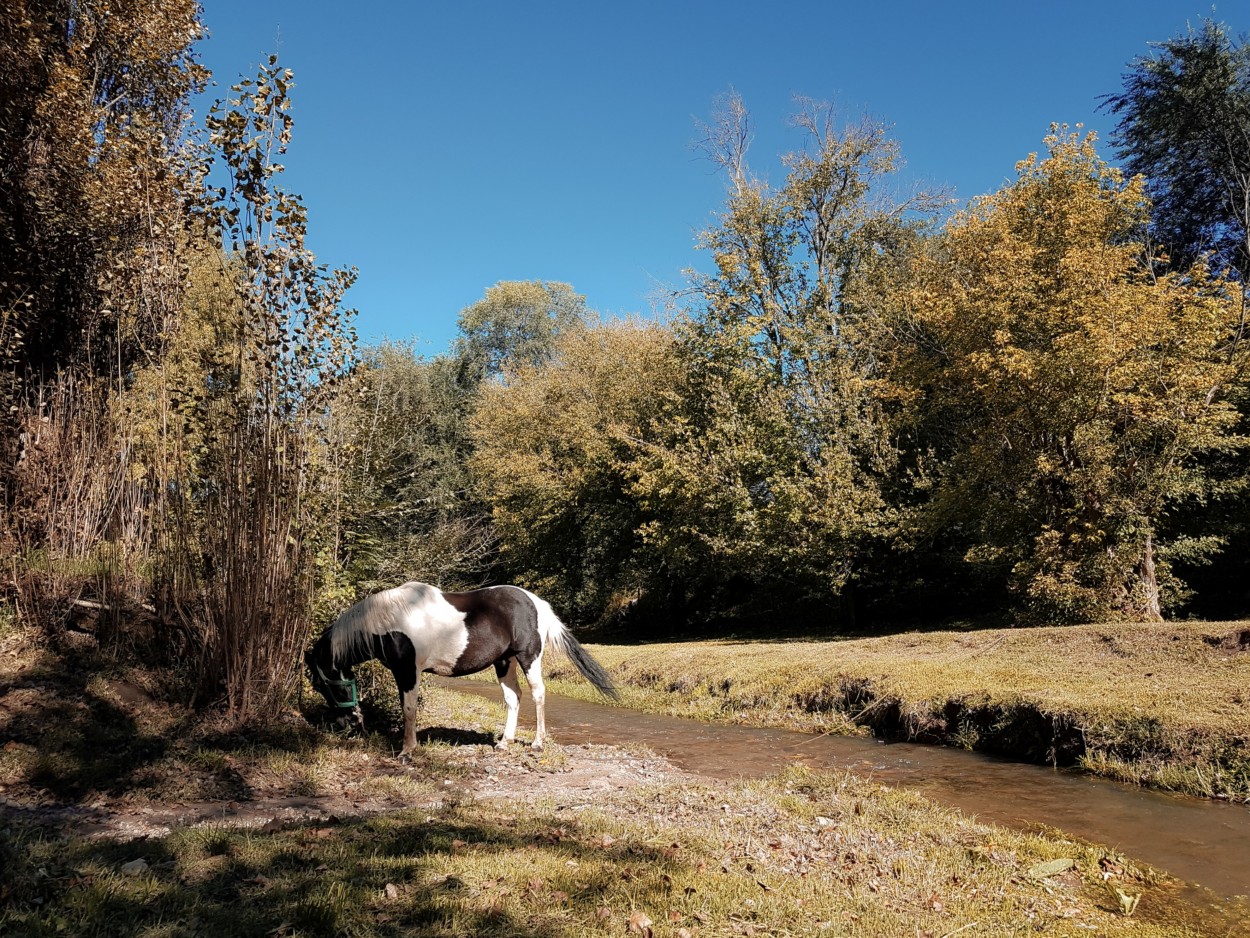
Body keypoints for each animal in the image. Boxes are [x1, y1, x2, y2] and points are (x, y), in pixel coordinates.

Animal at [307, 580, 620, 755]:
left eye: (321, 683)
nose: (346, 723)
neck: (390, 621)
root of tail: (537, 603)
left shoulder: (407, 671)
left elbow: (408, 708)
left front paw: (407, 750)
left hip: (528, 657)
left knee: (537, 693)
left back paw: (537, 743)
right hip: (503, 661)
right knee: (513, 697)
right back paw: (504, 742)